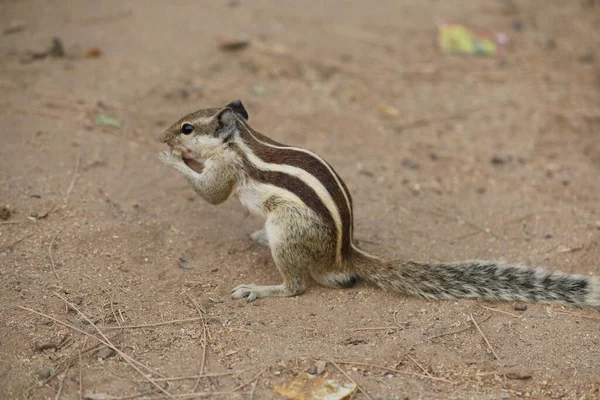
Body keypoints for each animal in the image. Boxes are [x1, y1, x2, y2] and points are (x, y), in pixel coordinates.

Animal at [161, 99, 600, 306]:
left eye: (187, 127)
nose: (162, 136)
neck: (241, 140)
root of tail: (343, 254)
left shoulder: (228, 167)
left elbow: (212, 194)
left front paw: (171, 158)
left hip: (287, 230)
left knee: (297, 286)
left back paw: (260, 289)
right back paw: (258, 239)